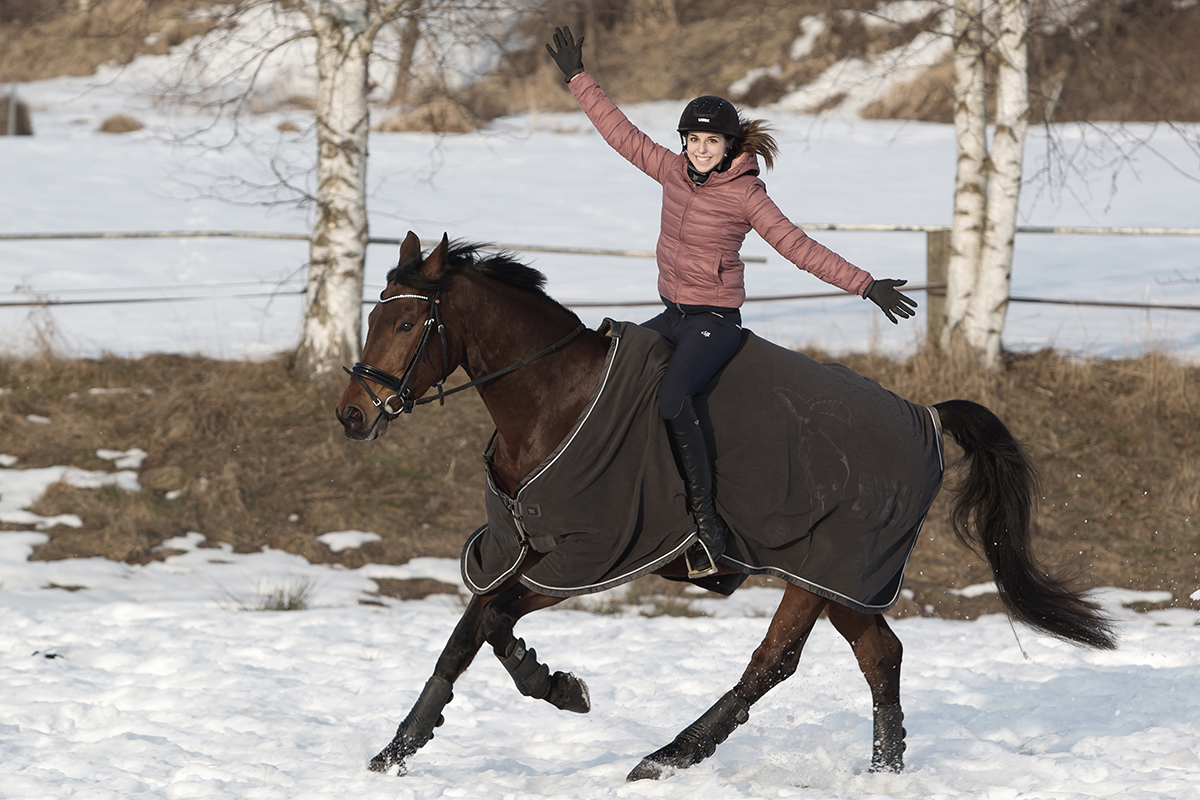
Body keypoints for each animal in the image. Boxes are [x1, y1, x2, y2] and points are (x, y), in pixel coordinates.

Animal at [336, 231, 1113, 782]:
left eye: (406, 326)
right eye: (376, 315)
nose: (351, 415)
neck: (554, 399)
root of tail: (925, 414)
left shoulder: (588, 558)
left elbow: (498, 623)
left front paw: (559, 687)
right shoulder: (518, 549)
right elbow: (467, 633)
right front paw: (398, 749)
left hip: (823, 566)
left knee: (775, 662)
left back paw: (669, 757)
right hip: (843, 580)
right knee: (880, 656)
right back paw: (881, 772)